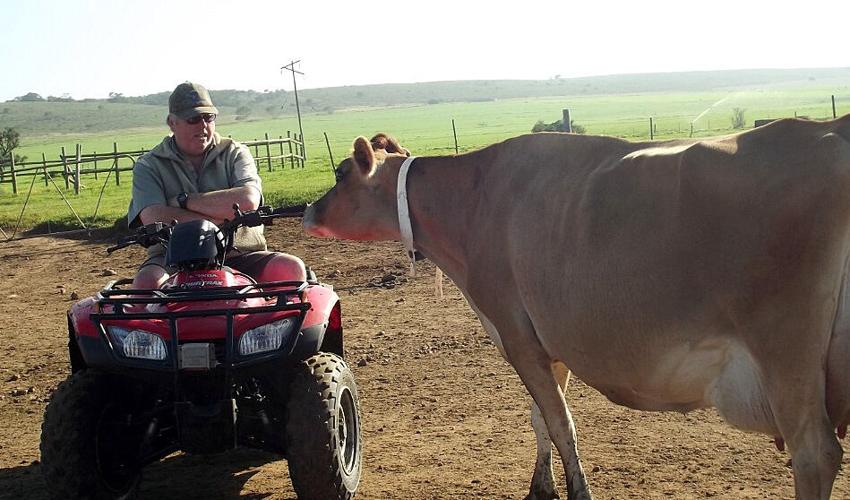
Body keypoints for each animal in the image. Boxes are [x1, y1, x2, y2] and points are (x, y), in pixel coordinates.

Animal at [303, 116, 850, 500]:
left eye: (340, 172)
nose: (307, 210)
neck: (475, 200)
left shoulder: (513, 329)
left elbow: (561, 422)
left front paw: (576, 490)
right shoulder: (547, 335)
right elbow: (541, 417)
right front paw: (541, 485)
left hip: (784, 350)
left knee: (815, 454)